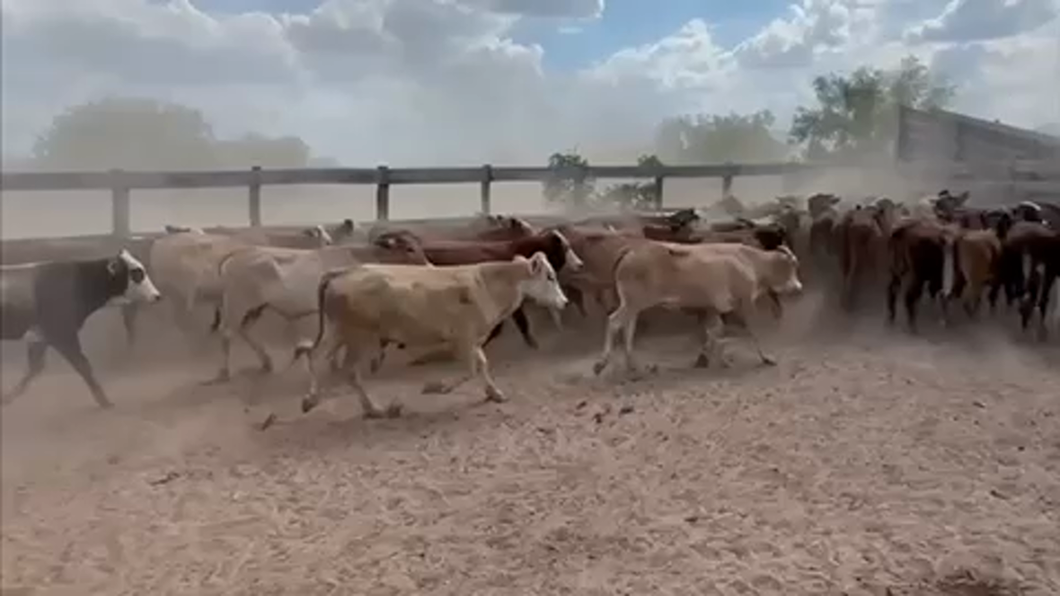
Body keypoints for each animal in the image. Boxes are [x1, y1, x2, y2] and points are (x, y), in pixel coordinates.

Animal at [1, 250, 162, 408]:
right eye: (137, 273)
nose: (157, 295)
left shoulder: (40, 338)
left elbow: (34, 368)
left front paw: (6, 398)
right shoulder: (63, 334)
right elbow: (83, 366)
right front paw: (104, 401)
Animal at [207, 231, 429, 383]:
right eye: (409, 248)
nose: (429, 266)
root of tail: (235, 255)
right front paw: (337, 364)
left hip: (255, 307)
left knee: (245, 330)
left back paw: (267, 362)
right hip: (238, 304)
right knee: (227, 333)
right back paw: (225, 372)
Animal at [290, 251, 569, 421]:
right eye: (550, 276)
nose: (564, 302)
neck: (486, 284)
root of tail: (341, 272)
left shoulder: (474, 340)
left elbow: (482, 365)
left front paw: (495, 393)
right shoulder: (463, 339)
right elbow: (470, 369)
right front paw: (436, 386)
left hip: (340, 332)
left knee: (322, 358)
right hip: (357, 337)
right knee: (338, 366)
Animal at [591, 242, 803, 376]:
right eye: (791, 266)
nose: (798, 287)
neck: (749, 260)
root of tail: (632, 250)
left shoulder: (712, 307)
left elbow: (716, 331)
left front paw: (710, 359)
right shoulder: (745, 303)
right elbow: (754, 330)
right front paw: (767, 358)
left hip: (633, 305)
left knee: (628, 328)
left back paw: (632, 364)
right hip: (633, 303)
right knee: (614, 321)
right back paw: (601, 363)